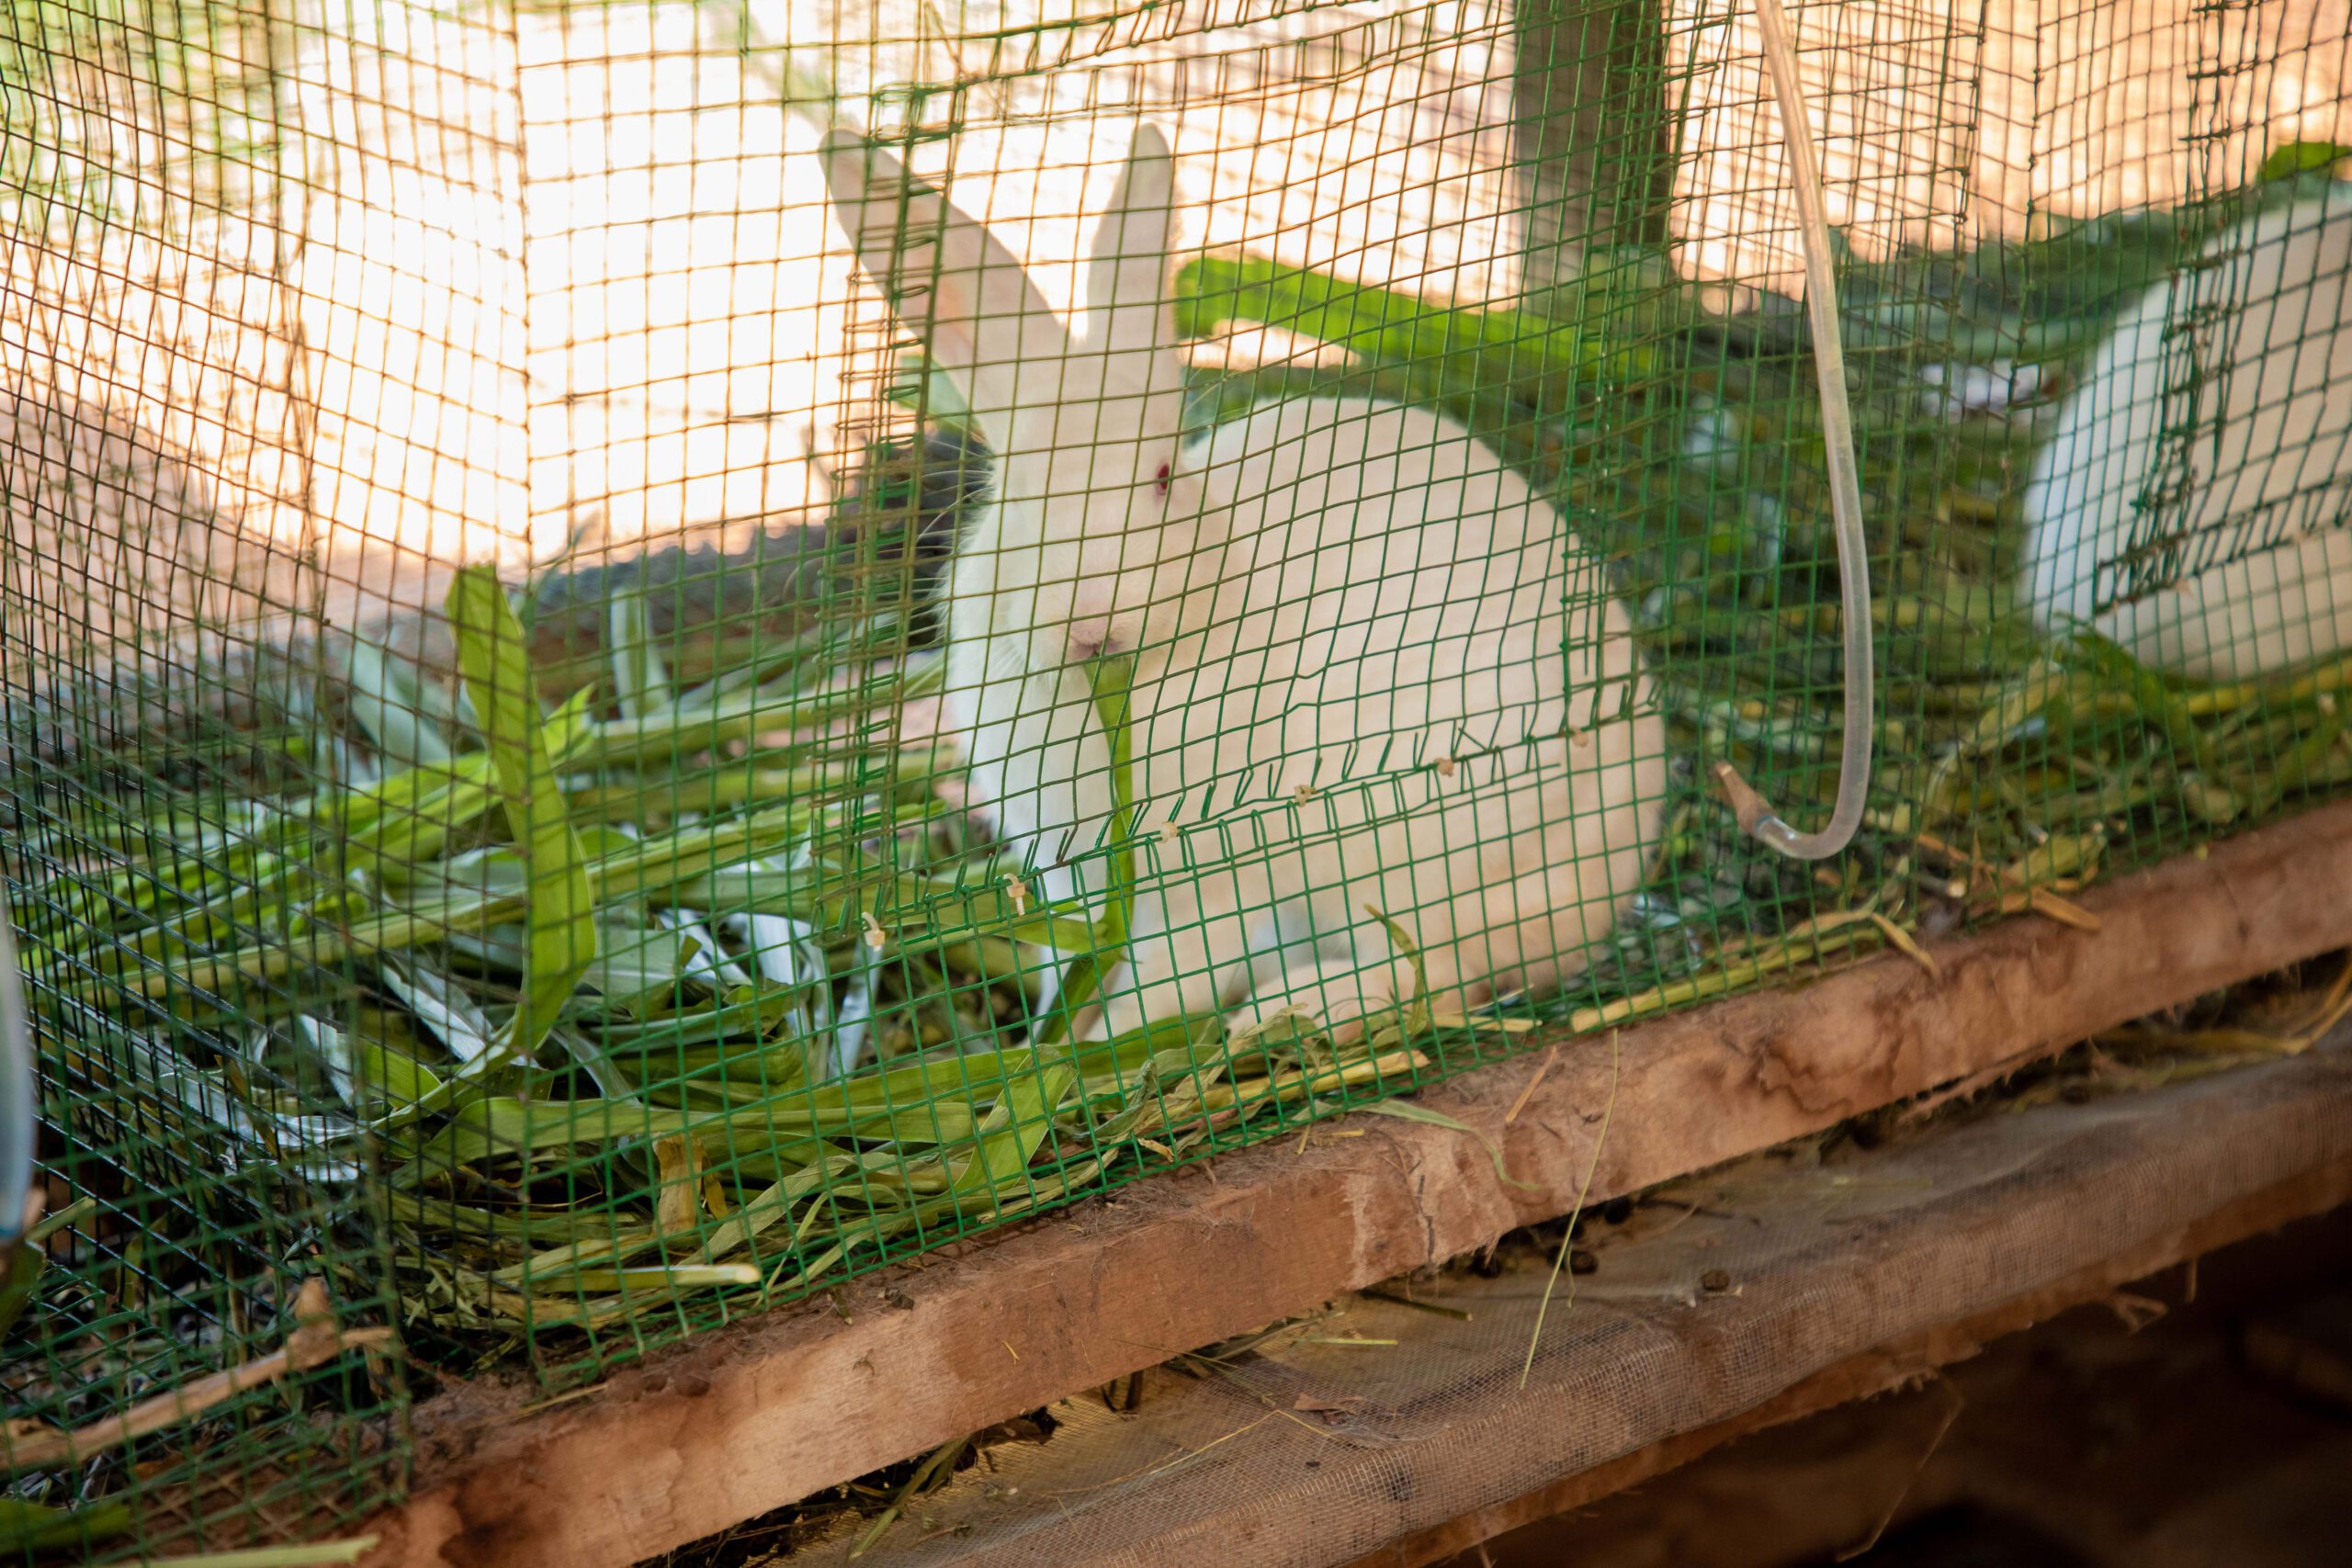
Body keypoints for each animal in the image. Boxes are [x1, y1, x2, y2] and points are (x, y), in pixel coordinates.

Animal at [818, 126, 1665, 1041]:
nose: (1090, 626)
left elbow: (1169, 982)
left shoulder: (1211, 885)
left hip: (1421, 835)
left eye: (1161, 479)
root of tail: (1616, 877)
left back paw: (1292, 1011)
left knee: (1432, 976)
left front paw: (1102, 1054)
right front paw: (1053, 1035)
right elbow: (1074, 964)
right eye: (1011, 490)